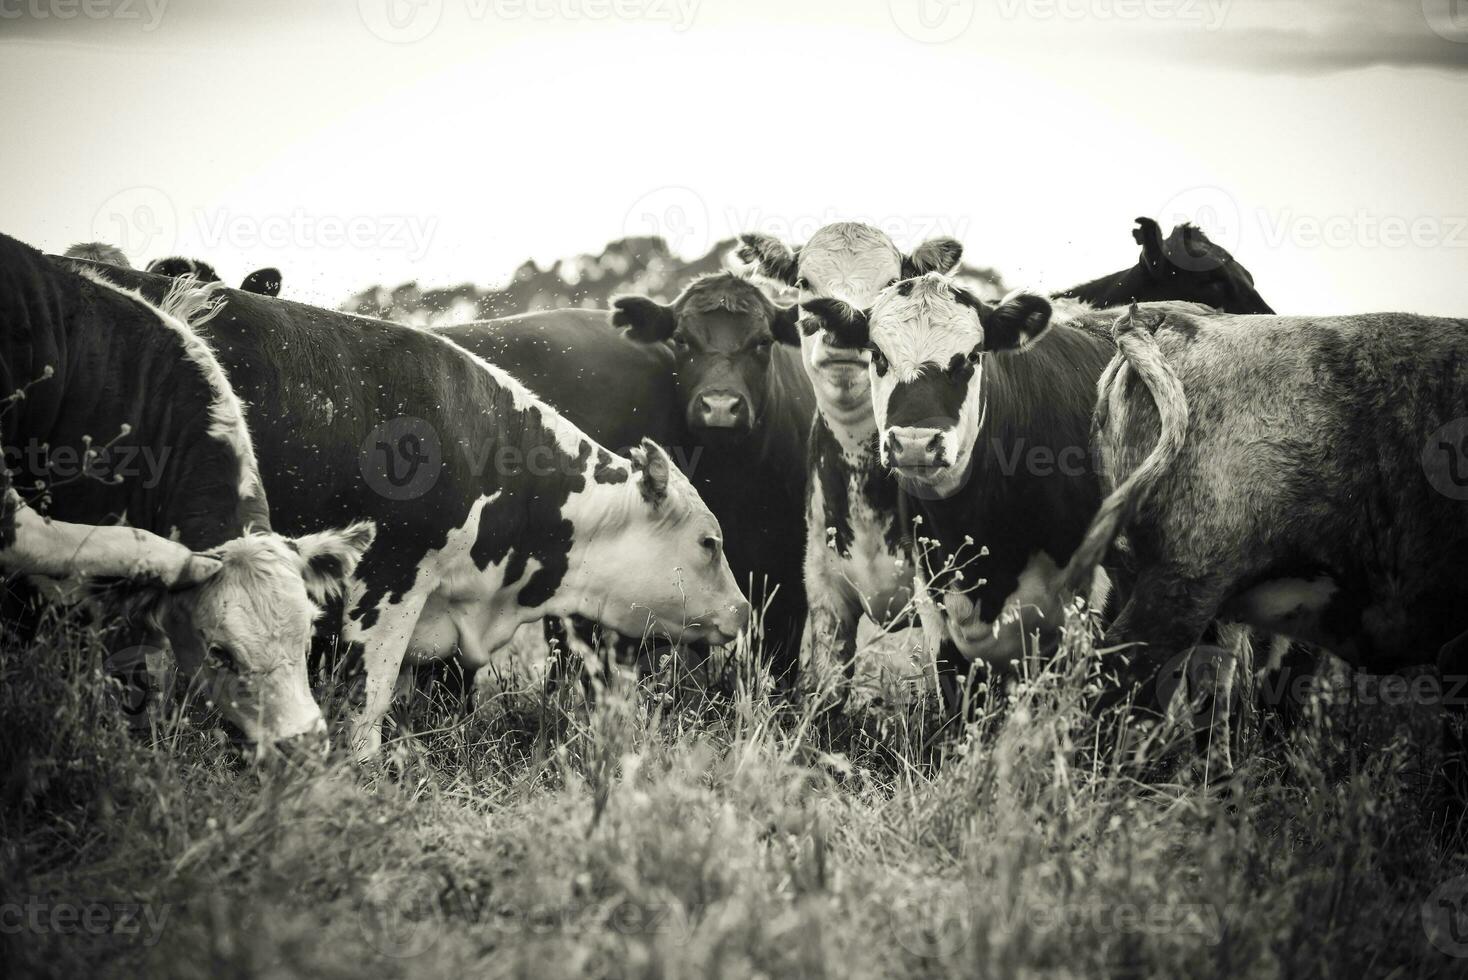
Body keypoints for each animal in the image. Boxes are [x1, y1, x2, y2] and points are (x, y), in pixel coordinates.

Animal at [607, 271, 816, 686]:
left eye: (762, 341)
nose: (720, 407)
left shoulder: (788, 573)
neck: (734, 479)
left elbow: (782, 659)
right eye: (681, 339)